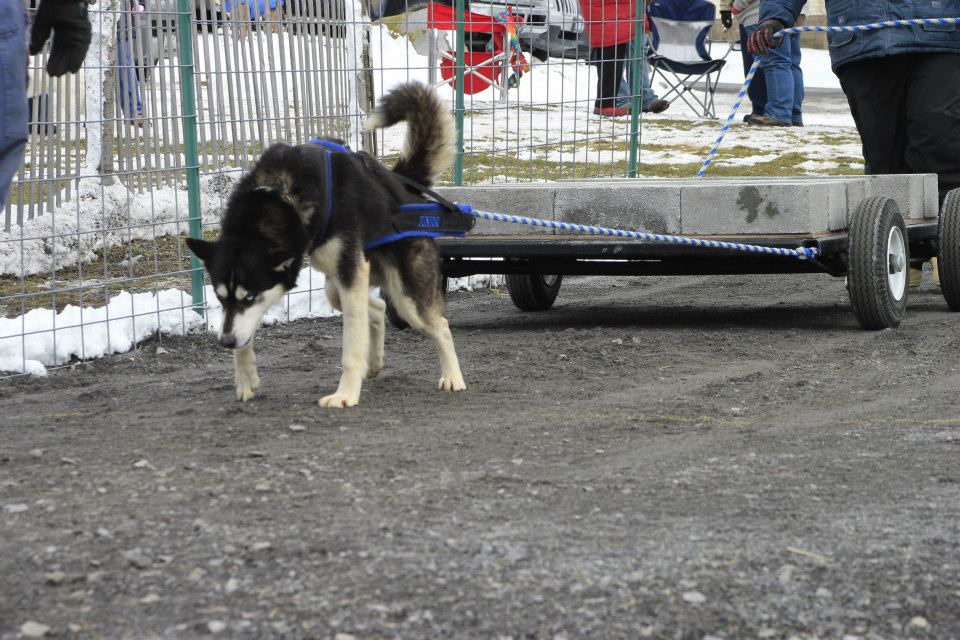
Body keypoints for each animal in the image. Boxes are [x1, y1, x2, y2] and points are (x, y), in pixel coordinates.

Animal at [187, 82, 464, 408]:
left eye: (249, 296)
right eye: (219, 299)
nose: (225, 342)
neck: (280, 194)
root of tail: (402, 184)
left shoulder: (348, 273)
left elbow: (351, 348)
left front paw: (345, 395)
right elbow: (246, 333)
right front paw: (245, 379)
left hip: (405, 298)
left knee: (440, 326)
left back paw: (453, 377)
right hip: (338, 285)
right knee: (378, 307)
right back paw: (375, 362)